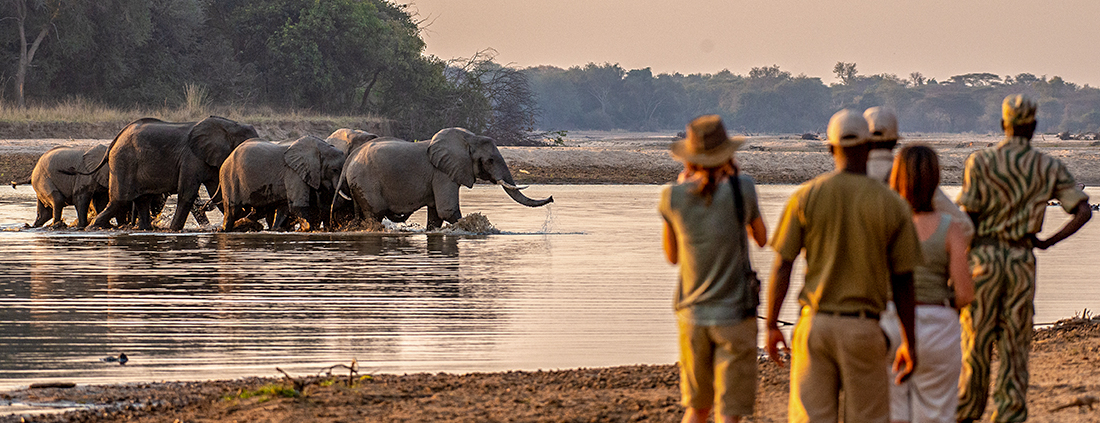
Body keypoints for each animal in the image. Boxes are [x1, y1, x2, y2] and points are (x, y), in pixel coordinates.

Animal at [86, 114, 259, 230]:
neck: (229, 124)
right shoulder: (191, 157)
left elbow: (218, 194)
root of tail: (115, 139)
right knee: (119, 200)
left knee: (142, 200)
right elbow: (187, 193)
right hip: (123, 161)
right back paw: (93, 227)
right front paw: (173, 230)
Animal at [334, 126, 554, 228]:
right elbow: (447, 211)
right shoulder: (442, 174)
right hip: (367, 182)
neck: (468, 138)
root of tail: (350, 161)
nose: (552, 198)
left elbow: (435, 217)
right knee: (374, 215)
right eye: (490, 160)